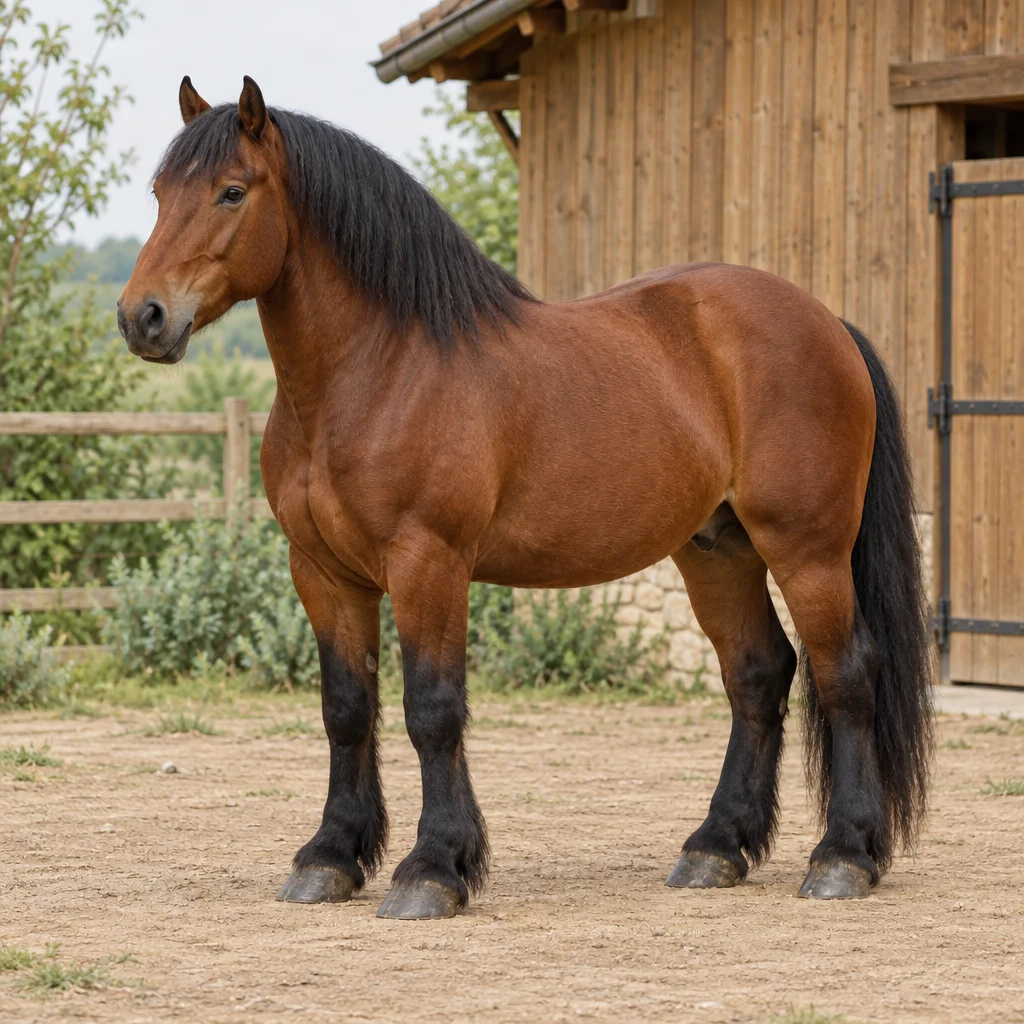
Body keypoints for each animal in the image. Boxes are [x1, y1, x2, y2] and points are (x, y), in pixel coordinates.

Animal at [118, 76, 933, 920]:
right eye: (159, 193)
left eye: (231, 191)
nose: (143, 317)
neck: (377, 371)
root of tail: (825, 322)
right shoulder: (321, 572)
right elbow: (346, 709)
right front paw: (330, 857)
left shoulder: (429, 563)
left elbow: (432, 709)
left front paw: (433, 869)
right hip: (718, 551)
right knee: (759, 674)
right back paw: (716, 846)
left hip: (808, 549)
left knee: (846, 675)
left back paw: (843, 856)